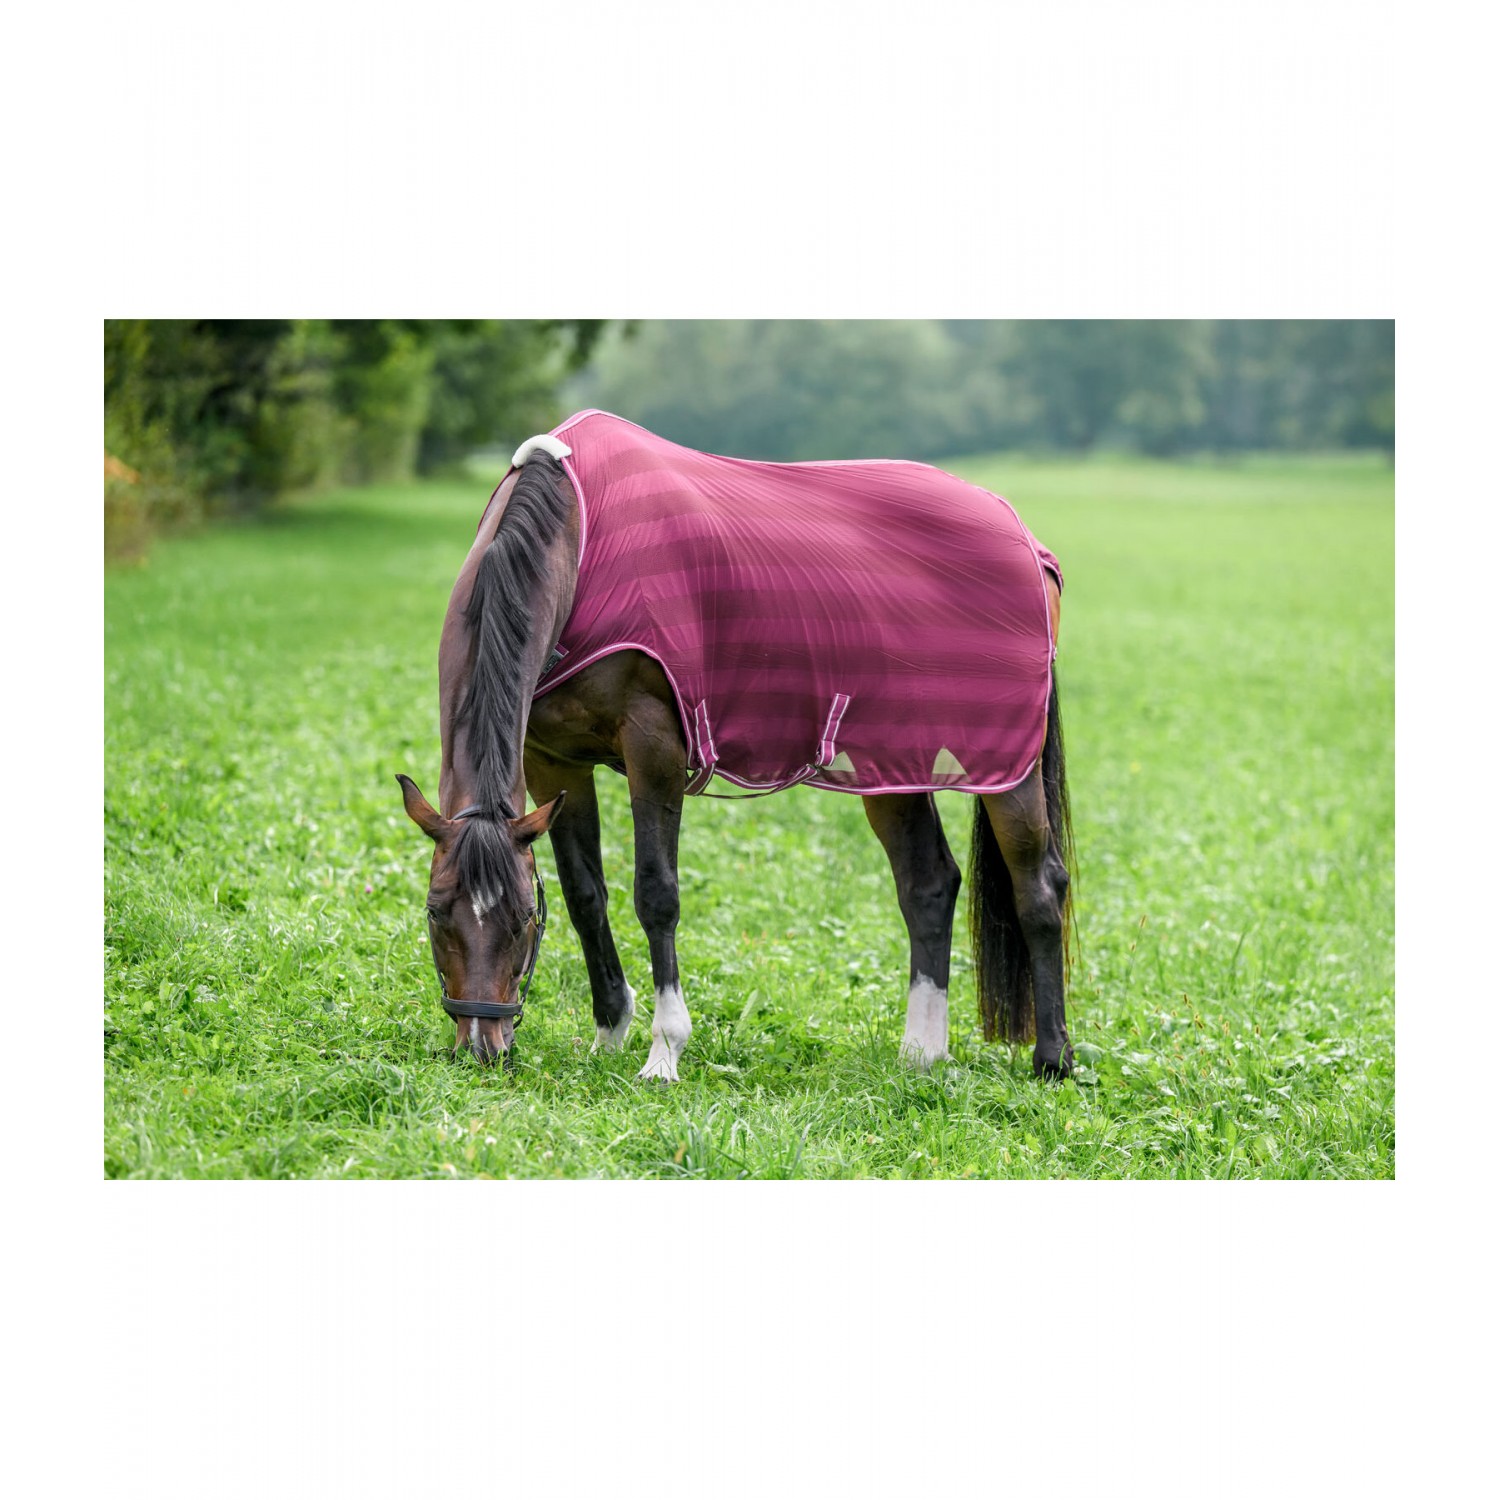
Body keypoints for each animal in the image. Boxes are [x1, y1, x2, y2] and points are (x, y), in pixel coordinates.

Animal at [398, 411, 1074, 1081]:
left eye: (521, 919)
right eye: (435, 912)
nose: (482, 1046)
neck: (580, 537)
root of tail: (1026, 539)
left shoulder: (655, 747)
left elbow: (656, 894)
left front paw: (663, 1051)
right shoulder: (553, 762)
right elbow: (585, 894)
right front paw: (609, 1034)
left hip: (1006, 767)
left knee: (1040, 885)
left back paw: (1053, 1059)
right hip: (892, 765)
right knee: (927, 883)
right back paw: (921, 1053)